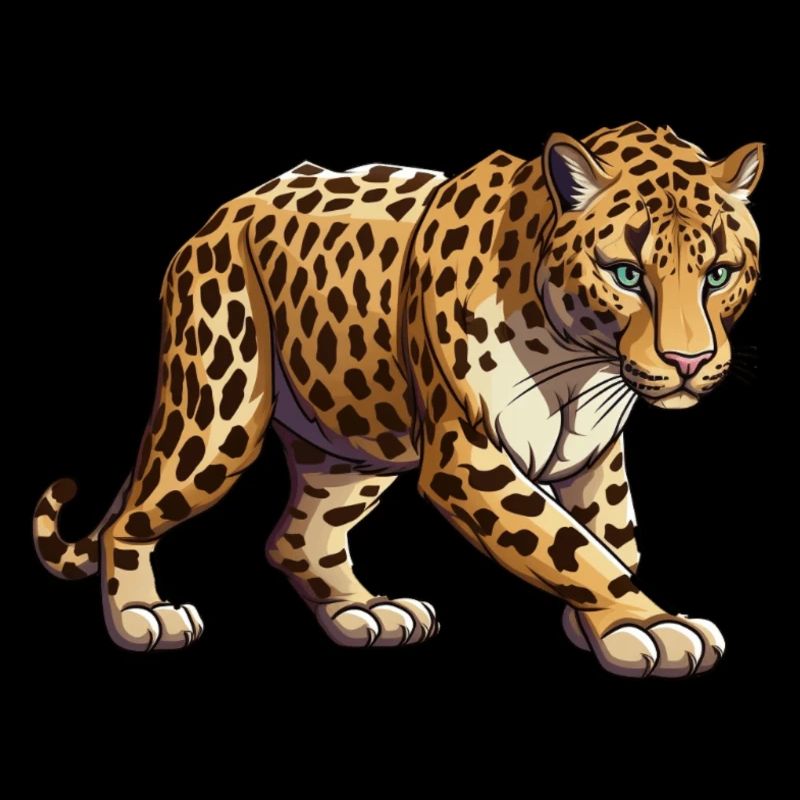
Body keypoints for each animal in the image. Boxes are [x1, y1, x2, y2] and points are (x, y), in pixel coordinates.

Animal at [33, 122, 763, 677]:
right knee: (135, 518)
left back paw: (366, 613)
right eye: (627, 275)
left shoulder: (597, 456)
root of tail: (221, 214)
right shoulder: (469, 456)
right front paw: (647, 626)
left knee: (297, 538)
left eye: (719, 274)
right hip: (219, 410)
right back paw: (141, 617)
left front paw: (608, 627)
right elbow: (567, 544)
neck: (582, 368)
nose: (689, 362)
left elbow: (616, 539)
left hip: (356, 443)